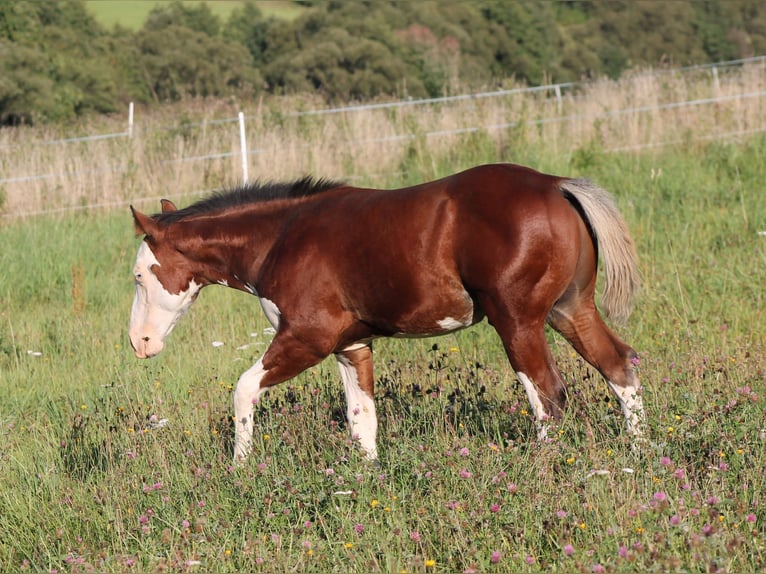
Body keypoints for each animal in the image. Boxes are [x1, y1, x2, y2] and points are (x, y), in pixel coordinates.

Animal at [129, 163, 644, 464]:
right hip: (570, 310)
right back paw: (639, 455)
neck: (281, 238)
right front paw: (366, 482)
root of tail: (557, 186)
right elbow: (362, 419)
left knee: (548, 396)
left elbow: (242, 390)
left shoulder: (307, 339)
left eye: (138, 275)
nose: (139, 343)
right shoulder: (352, 346)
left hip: (518, 323)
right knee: (619, 366)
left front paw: (240, 469)